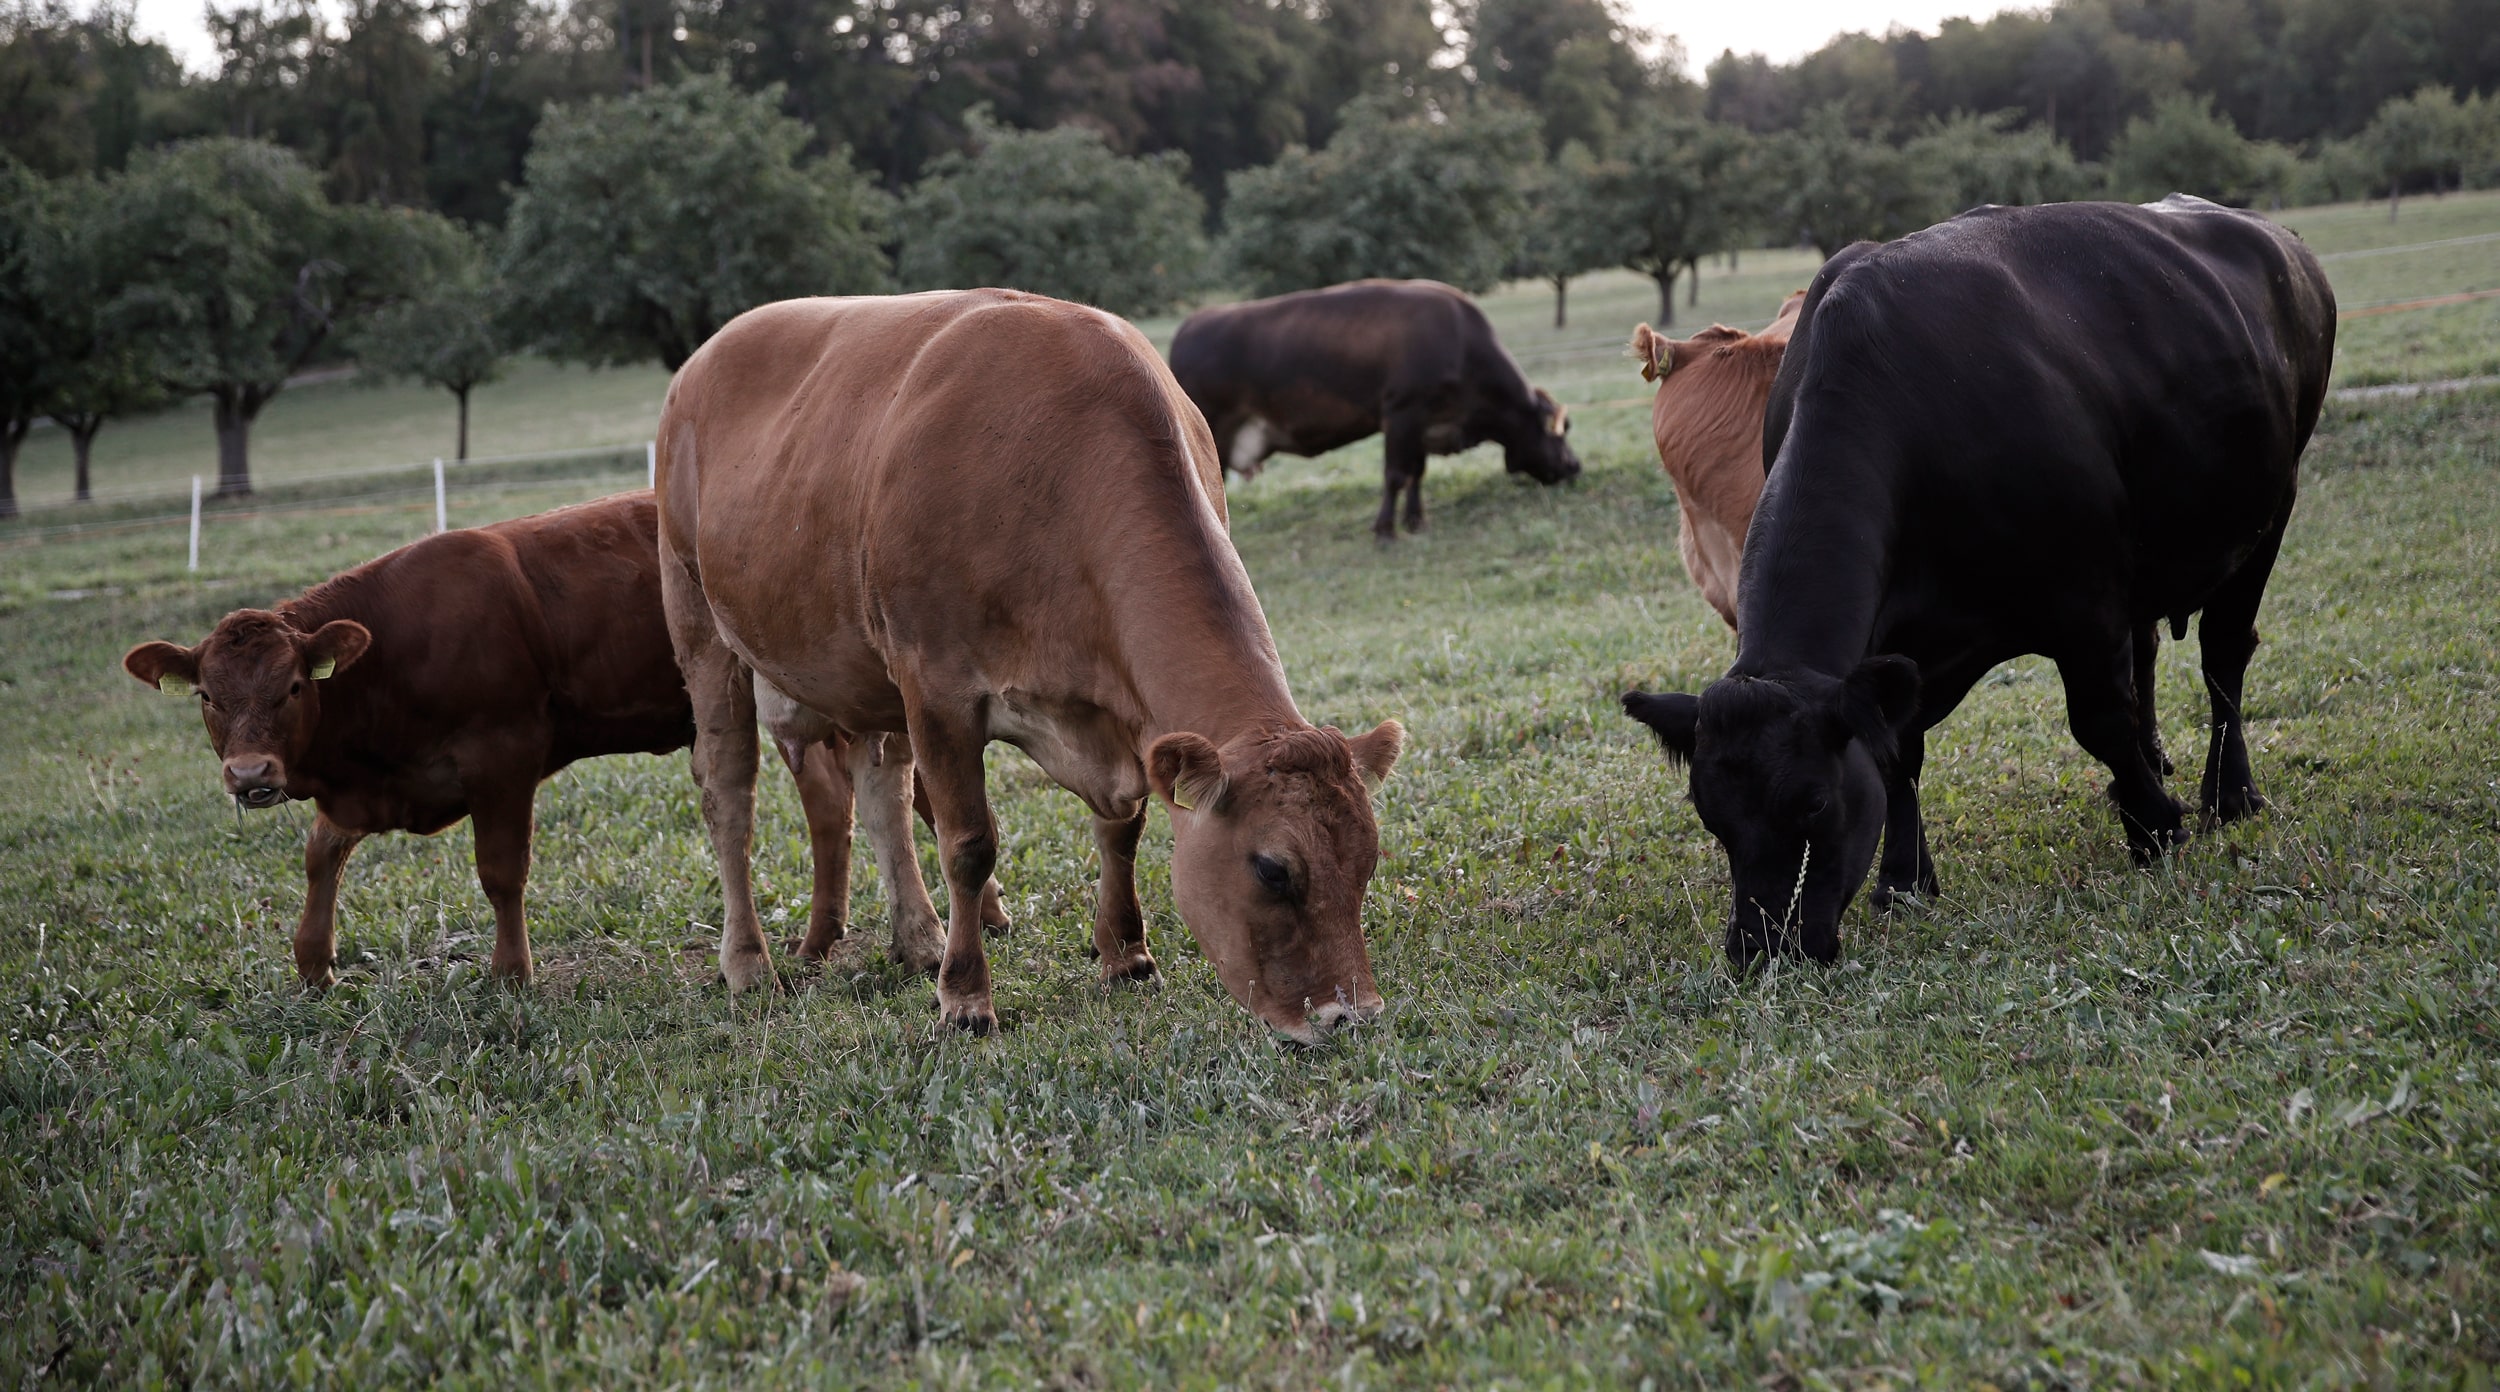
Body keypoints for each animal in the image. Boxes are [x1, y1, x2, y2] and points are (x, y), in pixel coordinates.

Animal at [117, 494, 995, 984]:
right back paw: (828, 938)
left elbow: (501, 873)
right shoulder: (377, 786)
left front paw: (512, 974)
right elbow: (320, 852)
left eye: (294, 686)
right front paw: (313, 963)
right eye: (207, 696)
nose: (250, 773)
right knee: (840, 809)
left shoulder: (501, 757)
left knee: (890, 798)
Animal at [655, 287, 1410, 1034]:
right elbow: (968, 844)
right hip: (697, 613)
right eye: (1272, 870)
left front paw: (1126, 955)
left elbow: (1123, 828)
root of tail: (707, 355)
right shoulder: (936, 685)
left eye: (1368, 860)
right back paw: (750, 964)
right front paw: (965, 999)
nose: (1354, 1014)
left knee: (881, 795)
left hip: (863, 670)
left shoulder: (1118, 718)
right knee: (729, 795)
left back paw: (918, 938)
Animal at [1170, 278, 1580, 537]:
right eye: (1560, 432)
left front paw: (1416, 521)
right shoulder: (1401, 413)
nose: (1575, 466)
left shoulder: (1423, 424)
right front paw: (1385, 530)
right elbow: (1396, 475)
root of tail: (1190, 326)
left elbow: (1417, 473)